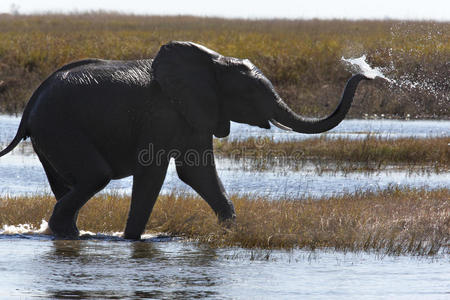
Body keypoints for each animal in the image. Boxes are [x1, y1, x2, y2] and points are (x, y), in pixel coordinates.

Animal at [0, 41, 370, 239]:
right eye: (251, 94)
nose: (365, 74)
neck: (214, 60)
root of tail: (31, 103)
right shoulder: (163, 113)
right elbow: (154, 172)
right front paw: (133, 240)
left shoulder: (194, 112)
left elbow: (198, 173)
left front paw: (229, 233)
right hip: (59, 126)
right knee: (95, 176)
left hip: (52, 133)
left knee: (69, 184)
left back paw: (69, 234)